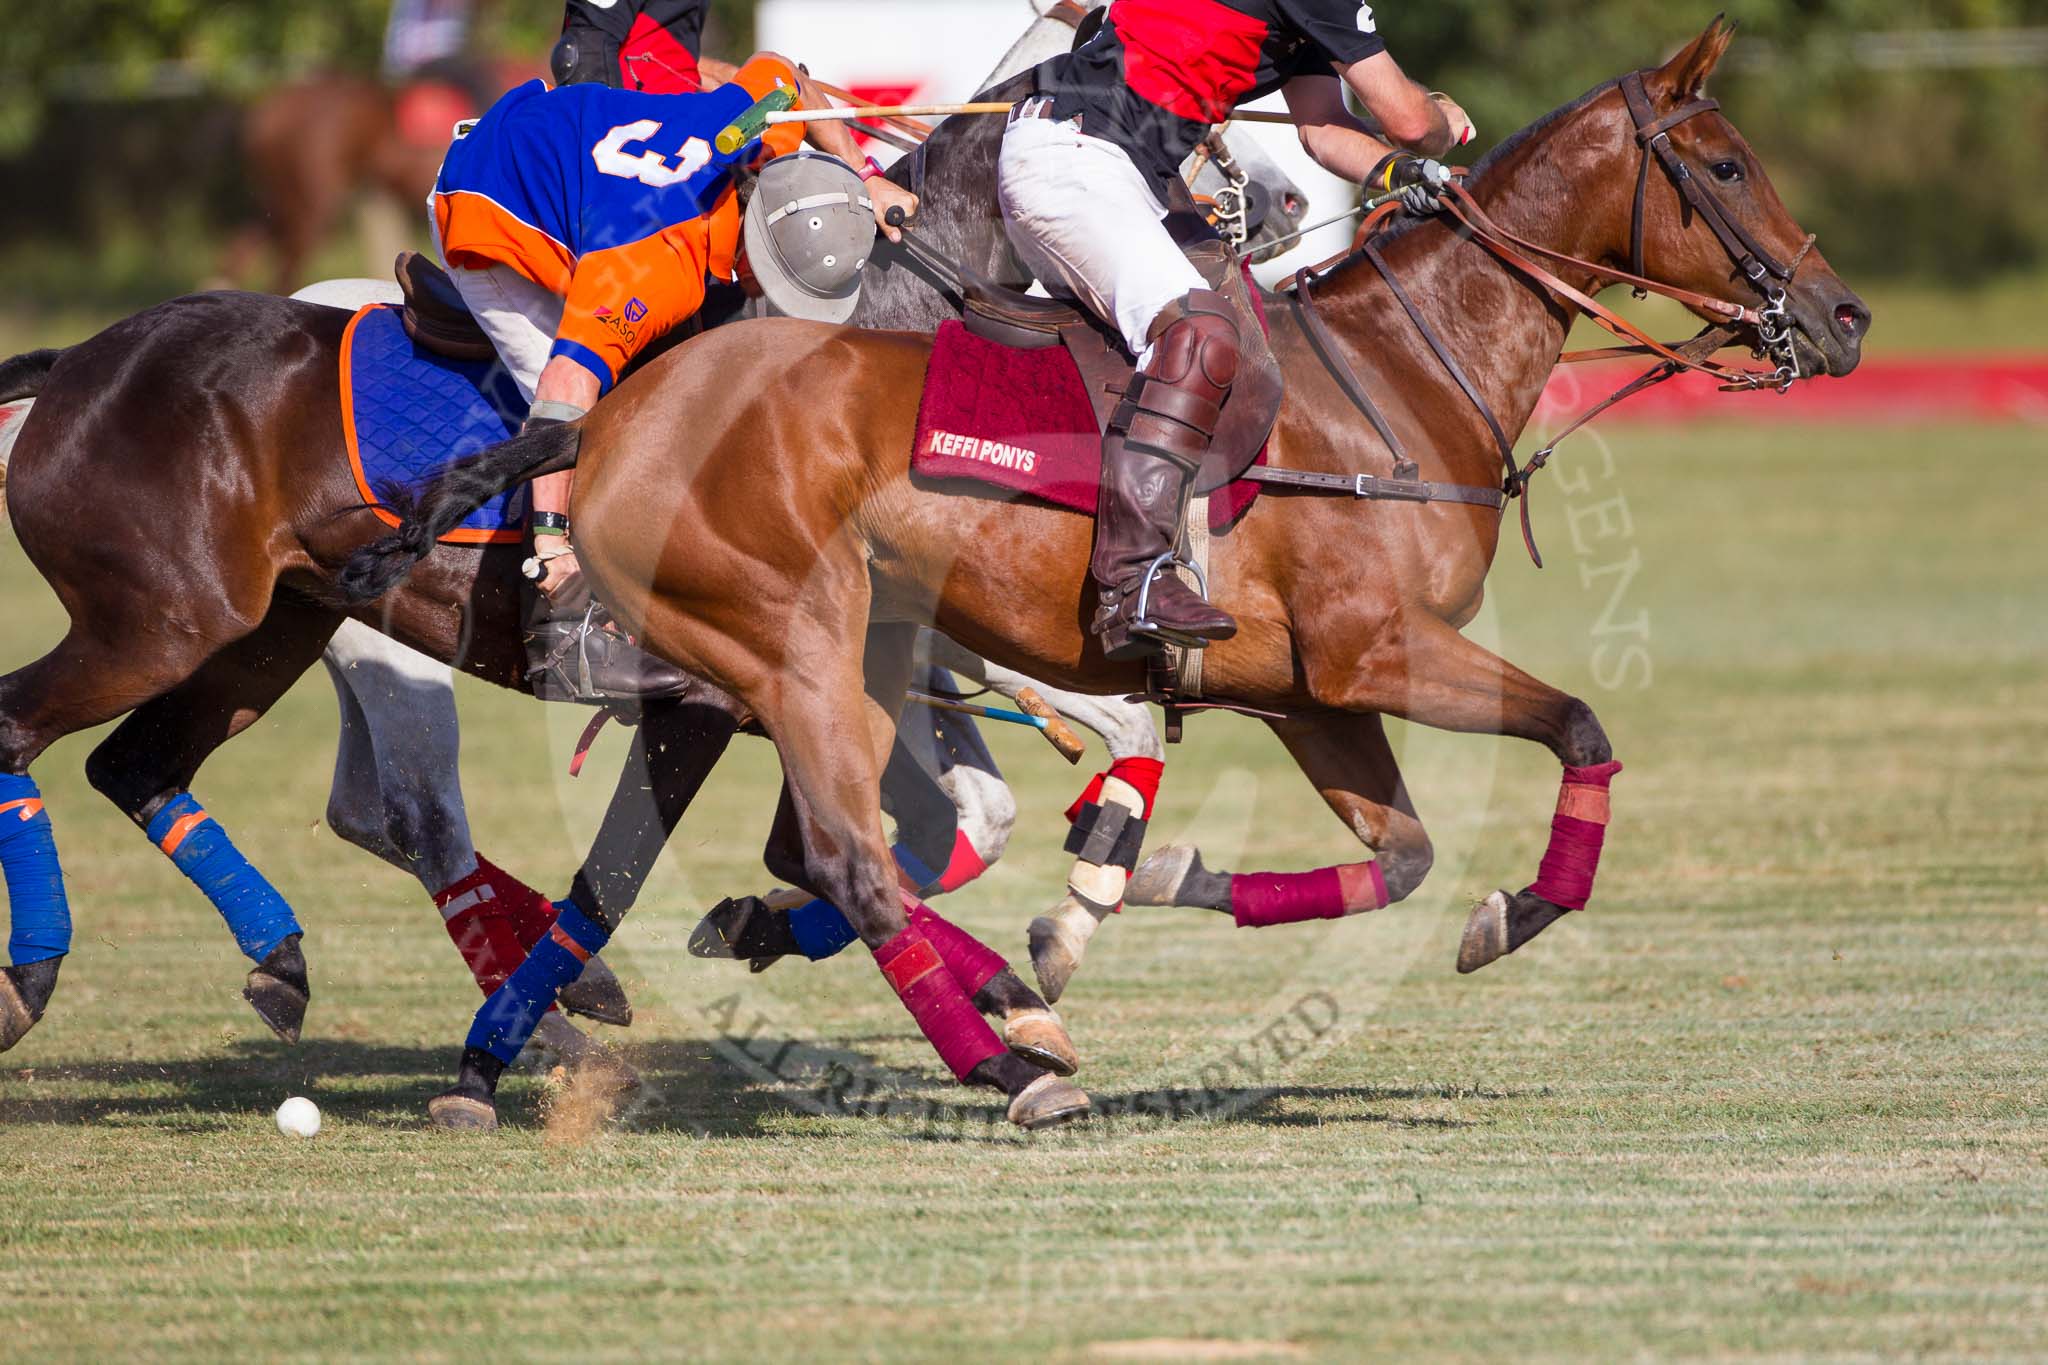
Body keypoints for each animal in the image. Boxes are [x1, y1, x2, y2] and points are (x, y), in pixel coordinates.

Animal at [344, 21, 1867, 1105]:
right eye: (1723, 167)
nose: (1842, 318)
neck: (1396, 376)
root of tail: (604, 421)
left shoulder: (1310, 692)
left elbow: (1401, 855)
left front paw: (1139, 884)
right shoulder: (1379, 651)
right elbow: (1579, 726)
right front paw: (1525, 908)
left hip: (830, 658)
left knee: (761, 852)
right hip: (789, 644)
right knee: (824, 847)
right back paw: (1006, 1066)